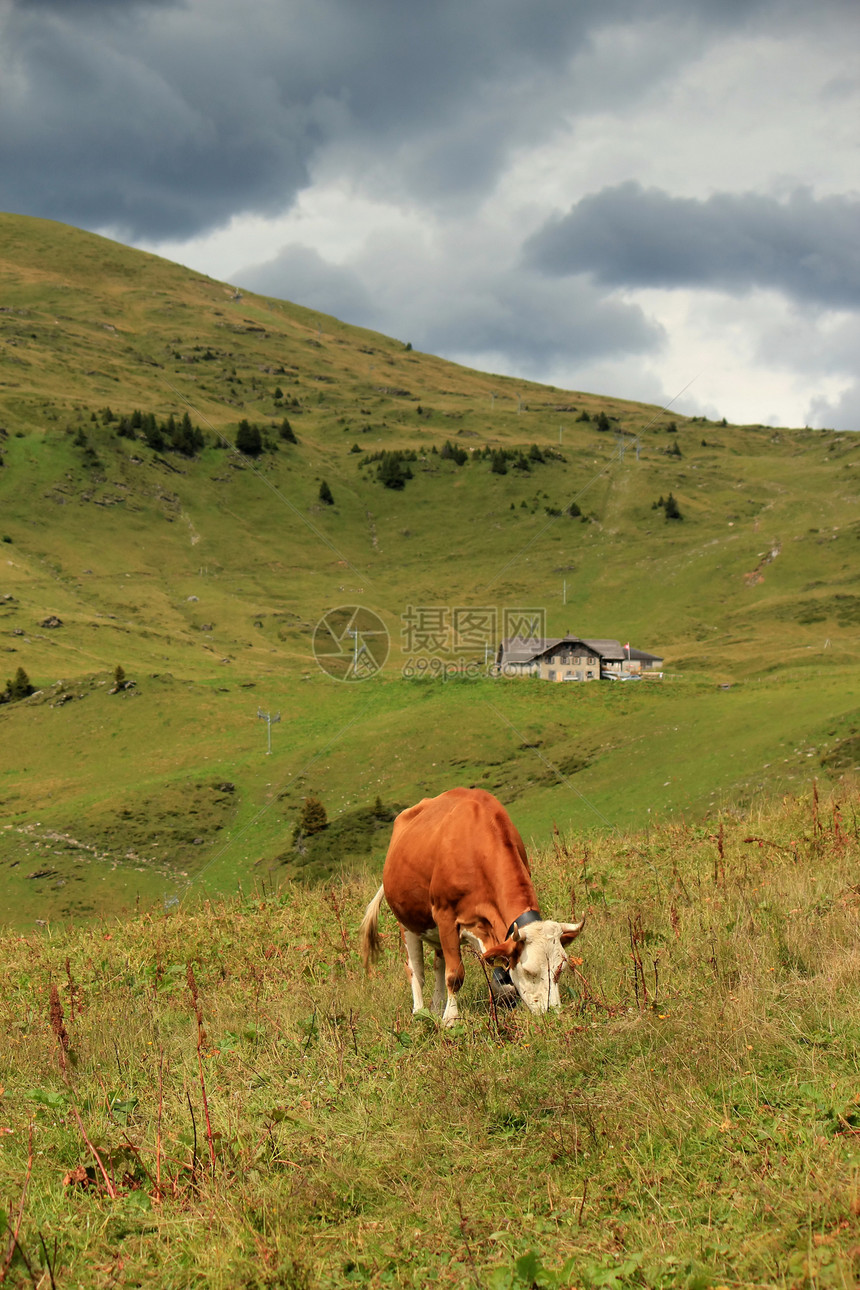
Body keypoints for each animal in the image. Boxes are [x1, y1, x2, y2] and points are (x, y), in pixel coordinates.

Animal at [355, 784, 585, 1026]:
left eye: (560, 969)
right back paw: (420, 1012)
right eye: (529, 971)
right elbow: (455, 975)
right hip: (407, 921)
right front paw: (451, 1020)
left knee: (438, 966)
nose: (552, 1014)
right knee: (416, 969)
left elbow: (502, 979)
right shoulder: (445, 915)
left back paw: (436, 1007)